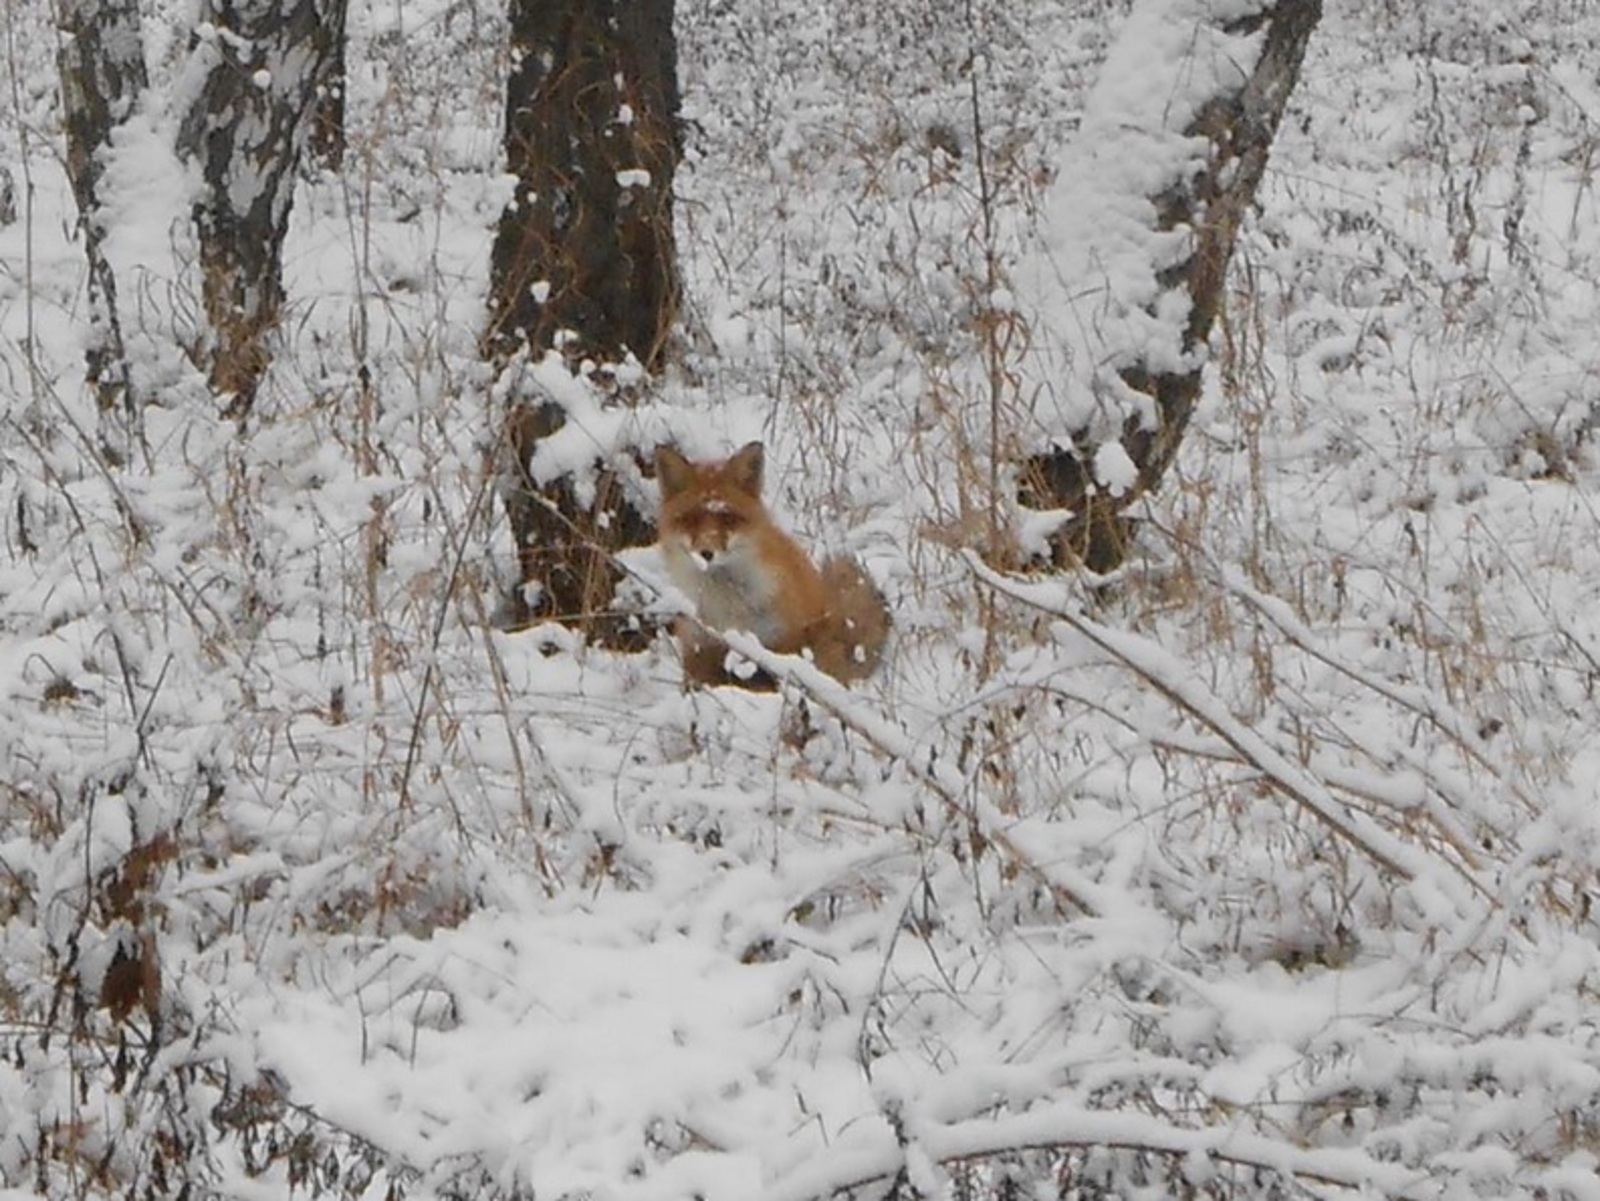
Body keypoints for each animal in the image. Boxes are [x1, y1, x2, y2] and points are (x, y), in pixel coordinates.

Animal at [656, 438, 896, 684]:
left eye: (728, 518)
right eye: (689, 519)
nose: (706, 553)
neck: (727, 606)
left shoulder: (779, 645)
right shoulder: (699, 649)